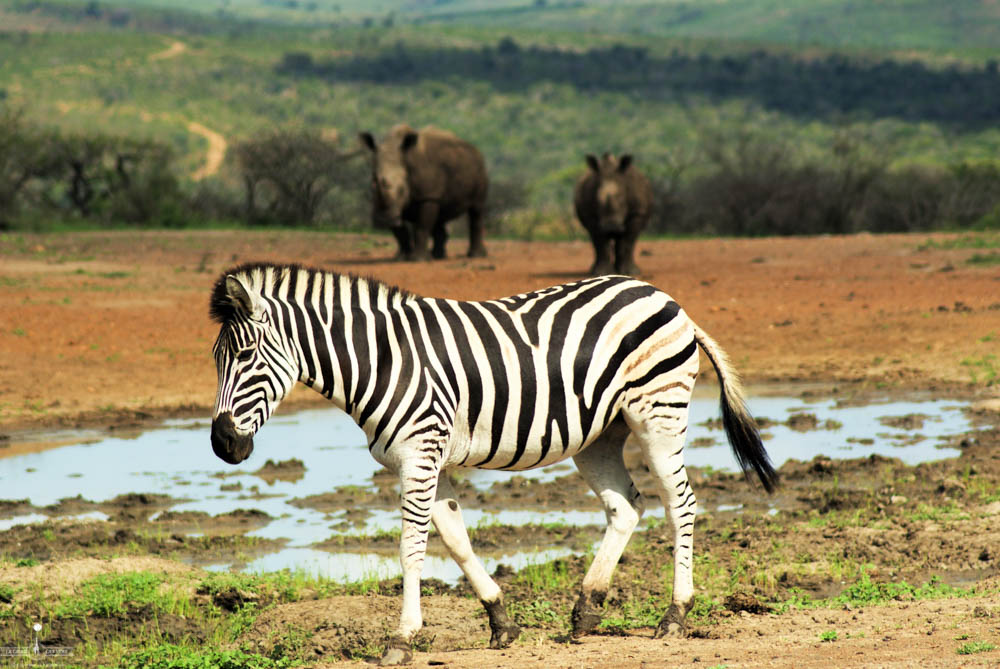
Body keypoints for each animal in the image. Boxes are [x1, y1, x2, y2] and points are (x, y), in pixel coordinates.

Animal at [207, 260, 776, 664]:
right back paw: (586, 608)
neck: (383, 362)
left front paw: (402, 639)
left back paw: (674, 615)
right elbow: (456, 540)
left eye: (248, 354)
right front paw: (500, 620)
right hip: (598, 435)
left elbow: (411, 549)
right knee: (627, 506)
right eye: (217, 360)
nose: (222, 445)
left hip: (658, 414)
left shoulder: (420, 455)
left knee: (681, 504)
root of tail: (662, 296)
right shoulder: (423, 461)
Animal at [360, 122, 488, 260]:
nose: (382, 221)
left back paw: (476, 256)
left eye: (402, 189)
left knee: (476, 210)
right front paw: (402, 258)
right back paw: (438, 256)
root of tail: (476, 150)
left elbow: (422, 227)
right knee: (441, 213)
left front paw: (417, 259)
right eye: (373, 185)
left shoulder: (428, 196)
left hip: (480, 171)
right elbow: (400, 232)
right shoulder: (399, 208)